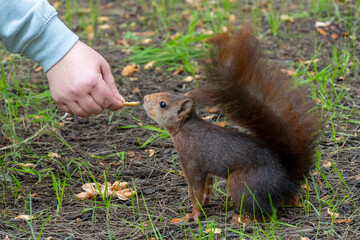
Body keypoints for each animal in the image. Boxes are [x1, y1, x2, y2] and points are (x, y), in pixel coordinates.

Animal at [142, 25, 322, 223]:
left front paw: (192, 215)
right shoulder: (206, 170)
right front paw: (206, 202)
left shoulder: (192, 162)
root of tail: (286, 181)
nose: (145, 98)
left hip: (240, 182)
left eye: (163, 104)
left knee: (268, 215)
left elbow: (195, 190)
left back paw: (245, 219)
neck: (185, 129)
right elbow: (207, 186)